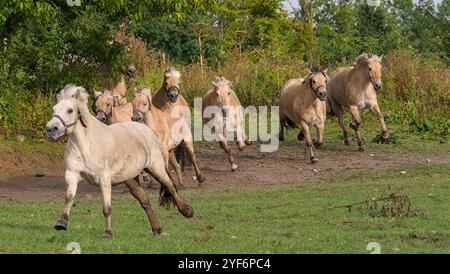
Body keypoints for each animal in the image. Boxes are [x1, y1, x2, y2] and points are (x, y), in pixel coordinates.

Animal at [45, 83, 193, 238]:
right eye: (54, 109)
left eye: (70, 110)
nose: (51, 129)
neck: (85, 144)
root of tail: (145, 128)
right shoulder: (72, 174)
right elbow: (69, 199)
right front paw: (61, 223)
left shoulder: (104, 179)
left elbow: (107, 207)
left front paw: (108, 232)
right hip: (131, 179)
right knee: (144, 200)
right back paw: (156, 229)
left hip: (156, 168)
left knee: (170, 186)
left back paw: (187, 211)